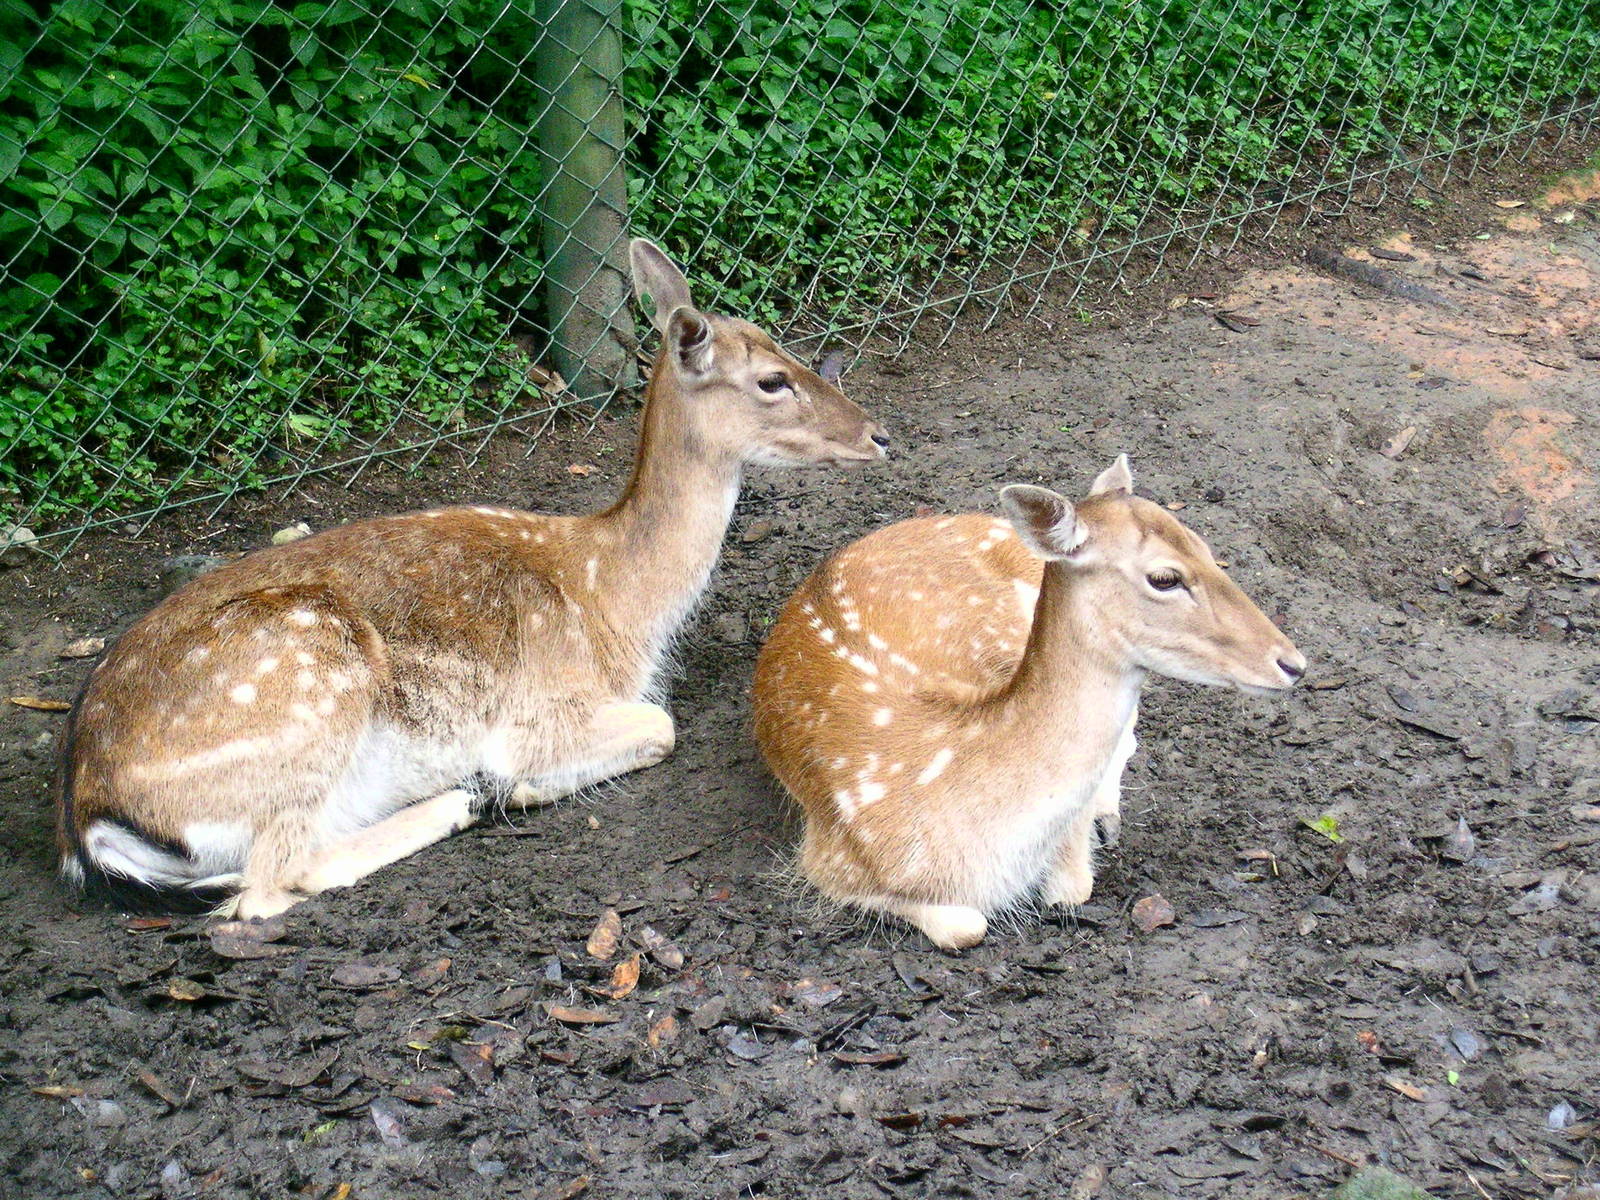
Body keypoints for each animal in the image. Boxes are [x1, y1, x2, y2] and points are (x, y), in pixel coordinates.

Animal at [56, 239, 889, 920]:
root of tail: (85, 817)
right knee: (270, 881)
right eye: (772, 379)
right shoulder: (545, 703)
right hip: (304, 682)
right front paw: (517, 783)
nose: (879, 434)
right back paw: (459, 802)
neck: (616, 601)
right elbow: (660, 726)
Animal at [752, 456, 1304, 950]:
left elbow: (1073, 888)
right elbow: (966, 926)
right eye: (1165, 578)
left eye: (1208, 549)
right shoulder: (828, 857)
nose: (1293, 663)